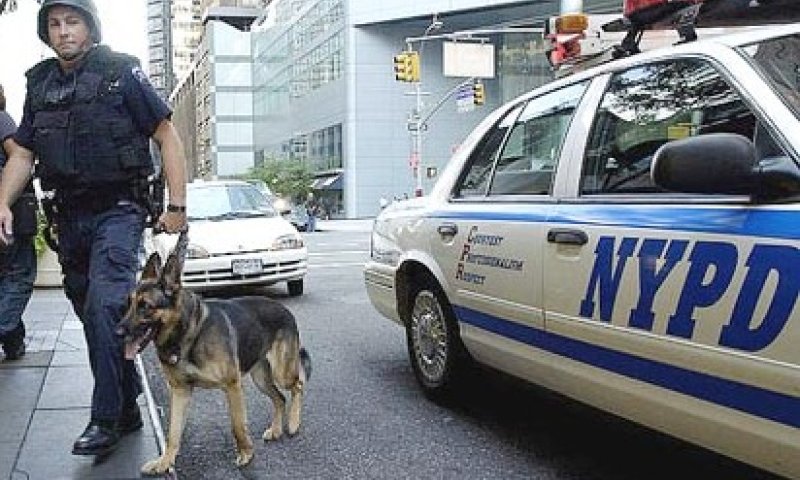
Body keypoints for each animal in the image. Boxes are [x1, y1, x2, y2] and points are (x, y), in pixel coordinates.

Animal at [117, 231, 310, 474]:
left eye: (146, 306)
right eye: (129, 304)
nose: (117, 331)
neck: (188, 334)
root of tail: (285, 309)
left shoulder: (232, 386)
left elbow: (237, 425)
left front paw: (246, 454)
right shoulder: (180, 392)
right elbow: (173, 433)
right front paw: (165, 462)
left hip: (281, 372)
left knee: (297, 385)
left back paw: (293, 423)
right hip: (261, 378)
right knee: (280, 399)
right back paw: (276, 429)